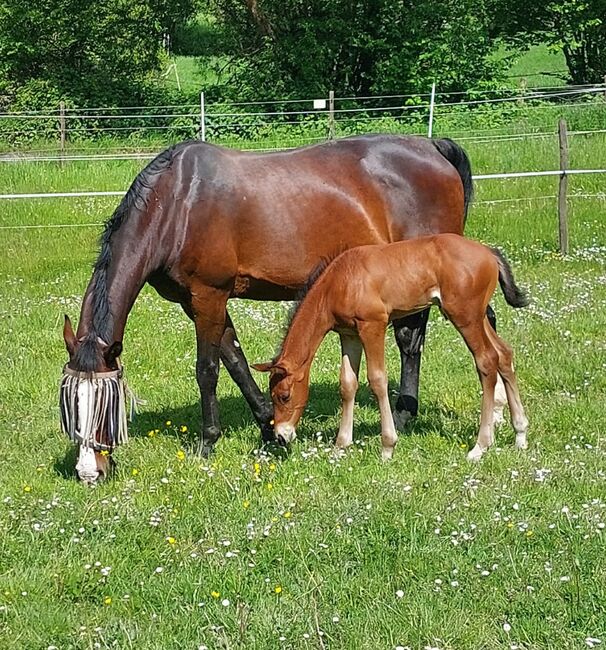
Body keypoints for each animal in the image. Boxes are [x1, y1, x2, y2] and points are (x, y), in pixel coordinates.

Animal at [59, 133, 476, 480]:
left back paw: (403, 416)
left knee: (409, 344)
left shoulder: (209, 295)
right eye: (70, 405)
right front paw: (267, 427)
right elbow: (237, 362)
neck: (177, 203)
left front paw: (207, 442)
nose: (89, 473)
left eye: (104, 406)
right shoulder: (198, 302)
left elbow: (207, 370)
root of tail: (432, 147)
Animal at [254, 233, 528, 460]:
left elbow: (377, 379)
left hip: (465, 317)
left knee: (487, 360)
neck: (339, 282)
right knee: (504, 354)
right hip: (478, 317)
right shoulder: (349, 334)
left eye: (284, 395)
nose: (281, 436)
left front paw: (387, 446)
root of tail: (488, 252)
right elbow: (347, 384)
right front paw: (341, 445)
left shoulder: (372, 326)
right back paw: (520, 434)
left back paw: (480, 446)